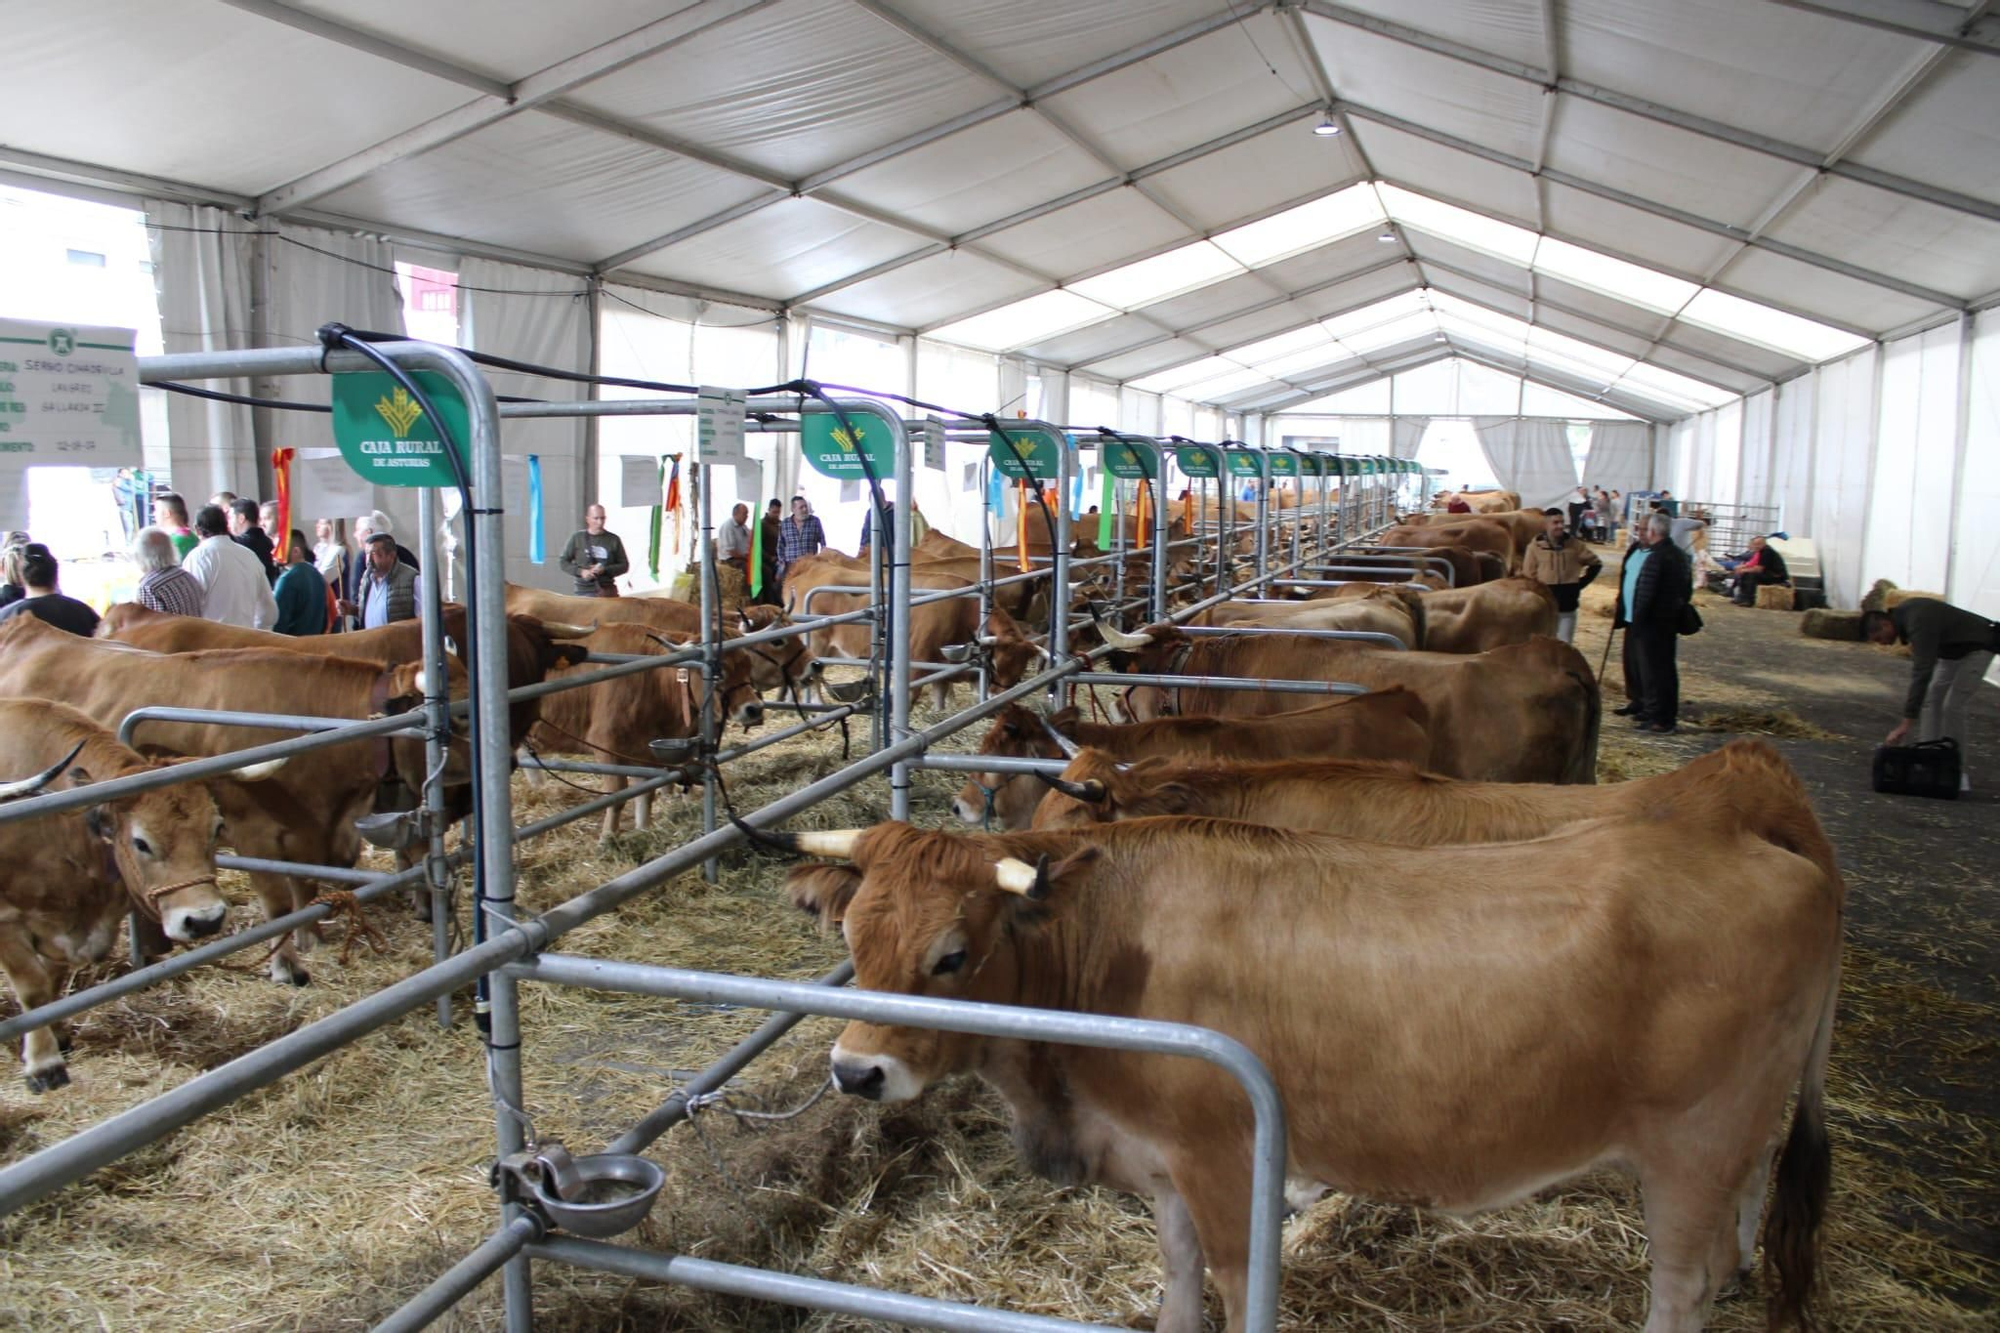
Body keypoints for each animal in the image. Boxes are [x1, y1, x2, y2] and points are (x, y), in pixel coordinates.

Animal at [0, 612, 456, 976]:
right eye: (460, 715)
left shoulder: (310, 832)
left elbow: (306, 885)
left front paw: (311, 938)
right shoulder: (255, 831)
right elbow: (277, 902)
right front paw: (286, 965)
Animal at [772, 780, 1832, 1328]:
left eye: (952, 953)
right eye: (852, 939)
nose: (855, 1071)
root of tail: (1780, 856)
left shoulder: (1225, 1157)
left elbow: (1236, 1284)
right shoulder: (1164, 1160)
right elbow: (1178, 1276)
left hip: (1694, 1147)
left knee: (1683, 1285)